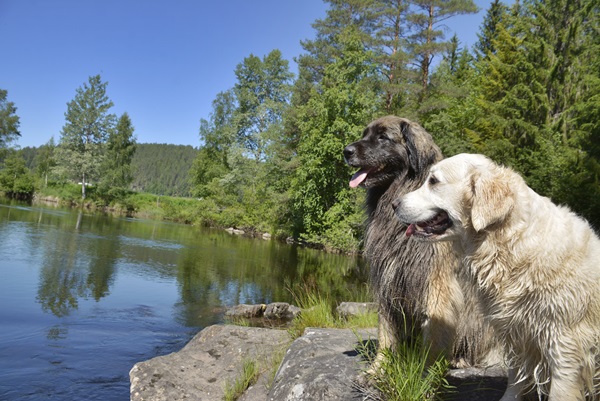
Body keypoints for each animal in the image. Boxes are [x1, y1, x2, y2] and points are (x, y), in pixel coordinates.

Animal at [344, 115, 500, 366]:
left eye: (383, 137)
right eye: (365, 134)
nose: (346, 151)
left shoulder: (437, 283)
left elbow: (434, 335)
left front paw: (425, 371)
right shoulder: (388, 278)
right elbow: (386, 330)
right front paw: (379, 367)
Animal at [394, 152, 600, 396]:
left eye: (433, 181)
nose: (394, 204)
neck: (511, 242)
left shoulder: (565, 344)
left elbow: (559, 391)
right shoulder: (516, 333)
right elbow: (515, 379)